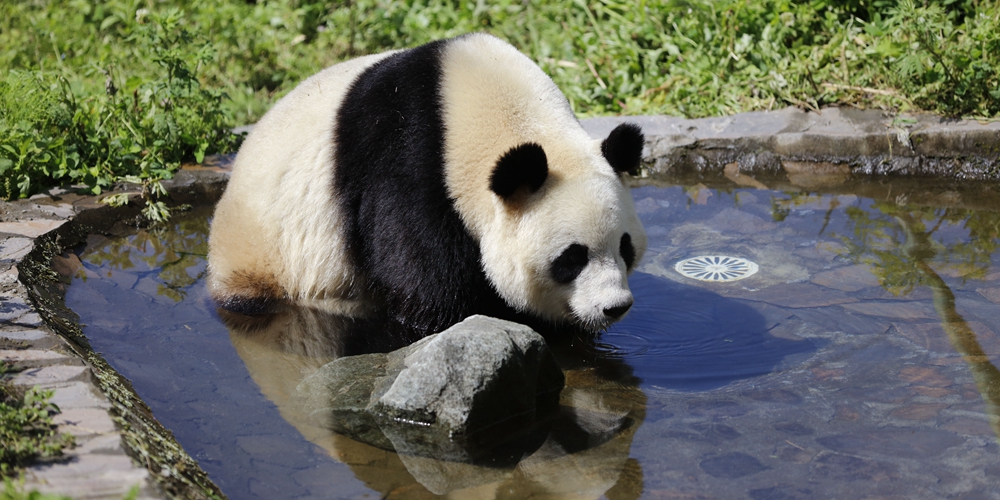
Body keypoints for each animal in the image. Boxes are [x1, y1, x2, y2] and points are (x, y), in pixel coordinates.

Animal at [209, 32, 648, 336]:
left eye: (625, 247)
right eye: (571, 258)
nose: (615, 307)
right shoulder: (409, 168)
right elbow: (428, 288)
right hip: (265, 255)